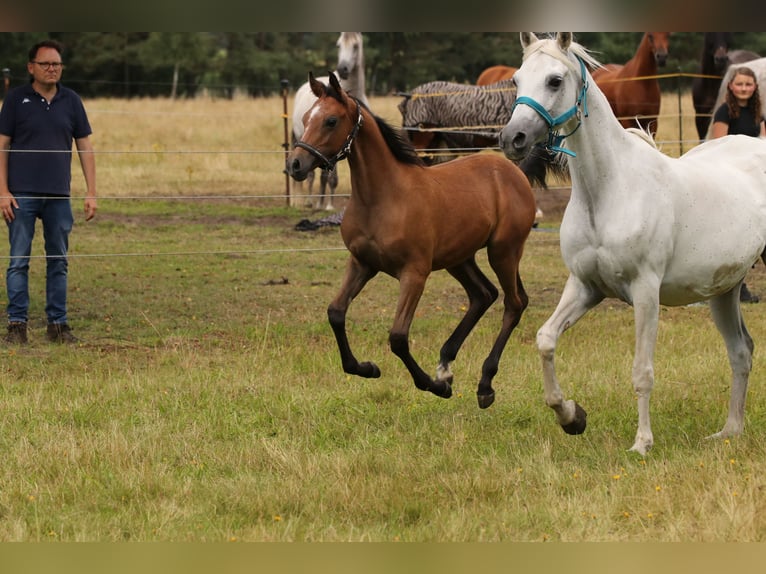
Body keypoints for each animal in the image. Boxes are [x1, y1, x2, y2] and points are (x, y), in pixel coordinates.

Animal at [287, 72, 536, 408]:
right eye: (305, 118)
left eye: (330, 120)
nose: (295, 165)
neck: (382, 197)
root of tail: (514, 172)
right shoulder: (362, 263)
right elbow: (336, 313)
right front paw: (366, 368)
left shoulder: (414, 273)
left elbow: (398, 337)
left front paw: (434, 386)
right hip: (459, 257)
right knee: (483, 294)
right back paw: (445, 364)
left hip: (504, 251)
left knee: (514, 302)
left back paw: (484, 384)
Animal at [290, 32, 368, 211]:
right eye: (339, 45)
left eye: (356, 46)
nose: (343, 69)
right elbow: (327, 177)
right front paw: (324, 205)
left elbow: (332, 179)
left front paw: (330, 205)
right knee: (311, 175)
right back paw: (309, 201)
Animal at [499, 32, 766, 455]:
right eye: (517, 80)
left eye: (555, 80)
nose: (513, 139)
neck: (610, 190)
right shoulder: (585, 286)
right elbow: (545, 340)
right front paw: (572, 417)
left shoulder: (645, 291)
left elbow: (642, 371)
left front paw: (642, 443)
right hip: (724, 291)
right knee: (741, 352)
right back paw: (729, 431)